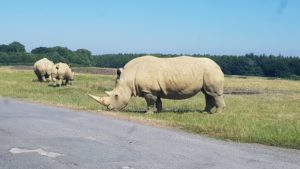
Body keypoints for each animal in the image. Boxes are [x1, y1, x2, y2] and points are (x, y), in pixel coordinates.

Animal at [89, 55, 225, 113]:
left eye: (116, 96)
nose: (110, 109)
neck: (128, 77)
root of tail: (218, 65)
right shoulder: (154, 89)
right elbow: (158, 101)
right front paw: (157, 112)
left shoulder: (148, 89)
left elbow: (150, 101)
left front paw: (148, 113)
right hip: (208, 71)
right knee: (207, 93)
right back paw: (204, 112)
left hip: (211, 71)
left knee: (214, 93)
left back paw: (217, 114)